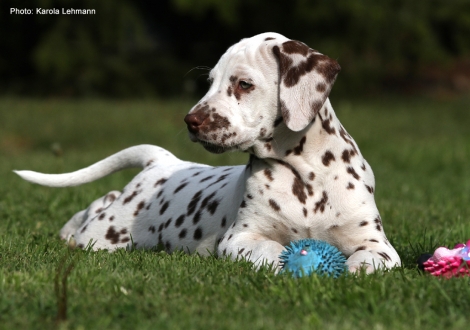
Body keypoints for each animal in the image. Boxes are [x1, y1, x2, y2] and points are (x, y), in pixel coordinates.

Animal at [16, 32, 402, 274]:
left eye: (243, 84)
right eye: (209, 82)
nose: (190, 120)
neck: (304, 176)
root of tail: (163, 161)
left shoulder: (376, 243)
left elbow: (371, 259)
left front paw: (354, 269)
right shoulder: (240, 238)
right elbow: (272, 249)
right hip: (105, 235)